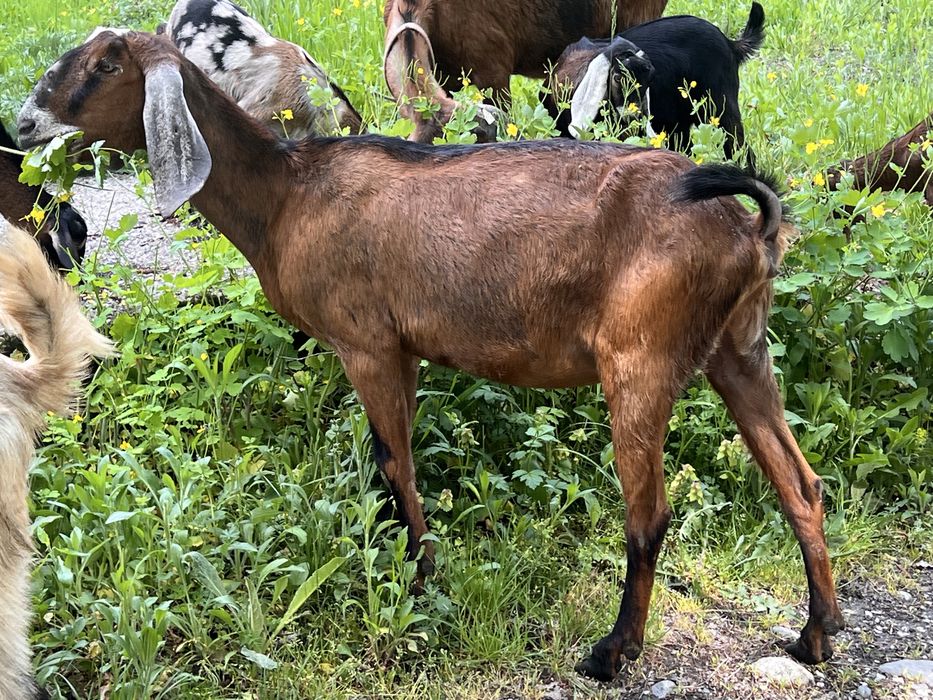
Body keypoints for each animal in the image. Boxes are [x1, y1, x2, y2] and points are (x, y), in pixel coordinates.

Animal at [18, 30, 845, 679]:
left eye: (103, 64)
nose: (24, 123)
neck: (288, 196)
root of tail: (749, 227)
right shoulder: (406, 348)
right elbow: (391, 464)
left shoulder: (368, 343)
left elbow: (394, 464)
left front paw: (419, 585)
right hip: (738, 348)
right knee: (800, 483)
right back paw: (816, 634)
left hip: (641, 358)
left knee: (650, 514)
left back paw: (613, 653)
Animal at [545, 3, 765, 162]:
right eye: (617, 78)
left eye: (650, 79)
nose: (636, 116)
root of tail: (729, 43)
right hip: (679, 122)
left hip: (719, 108)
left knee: (739, 148)